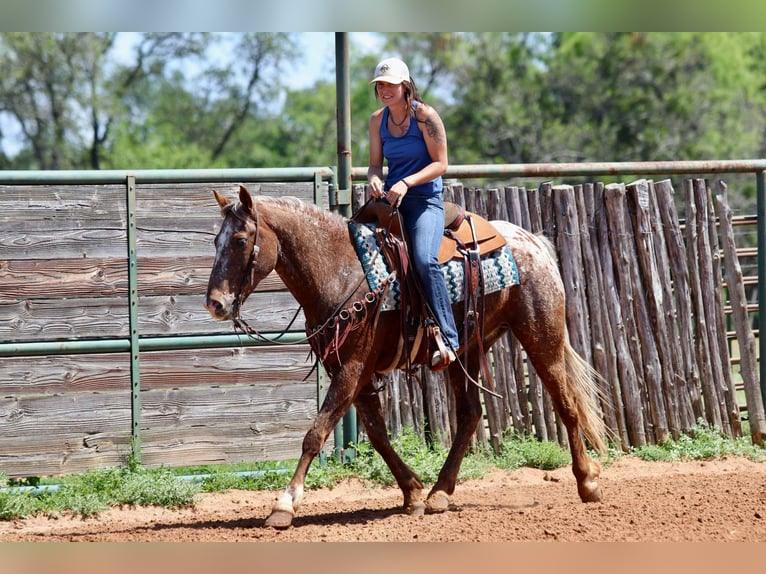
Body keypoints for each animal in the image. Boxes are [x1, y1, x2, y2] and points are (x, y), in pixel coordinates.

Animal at [204, 184, 608, 529]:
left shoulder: (352, 368)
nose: (215, 303)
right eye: (216, 240)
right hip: (468, 351)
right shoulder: (351, 371)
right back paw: (440, 493)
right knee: (470, 415)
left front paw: (284, 506)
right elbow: (377, 435)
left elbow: (315, 434)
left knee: (566, 405)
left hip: (542, 337)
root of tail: (534, 243)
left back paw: (587, 483)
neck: (341, 269)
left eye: (240, 240)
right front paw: (412, 492)